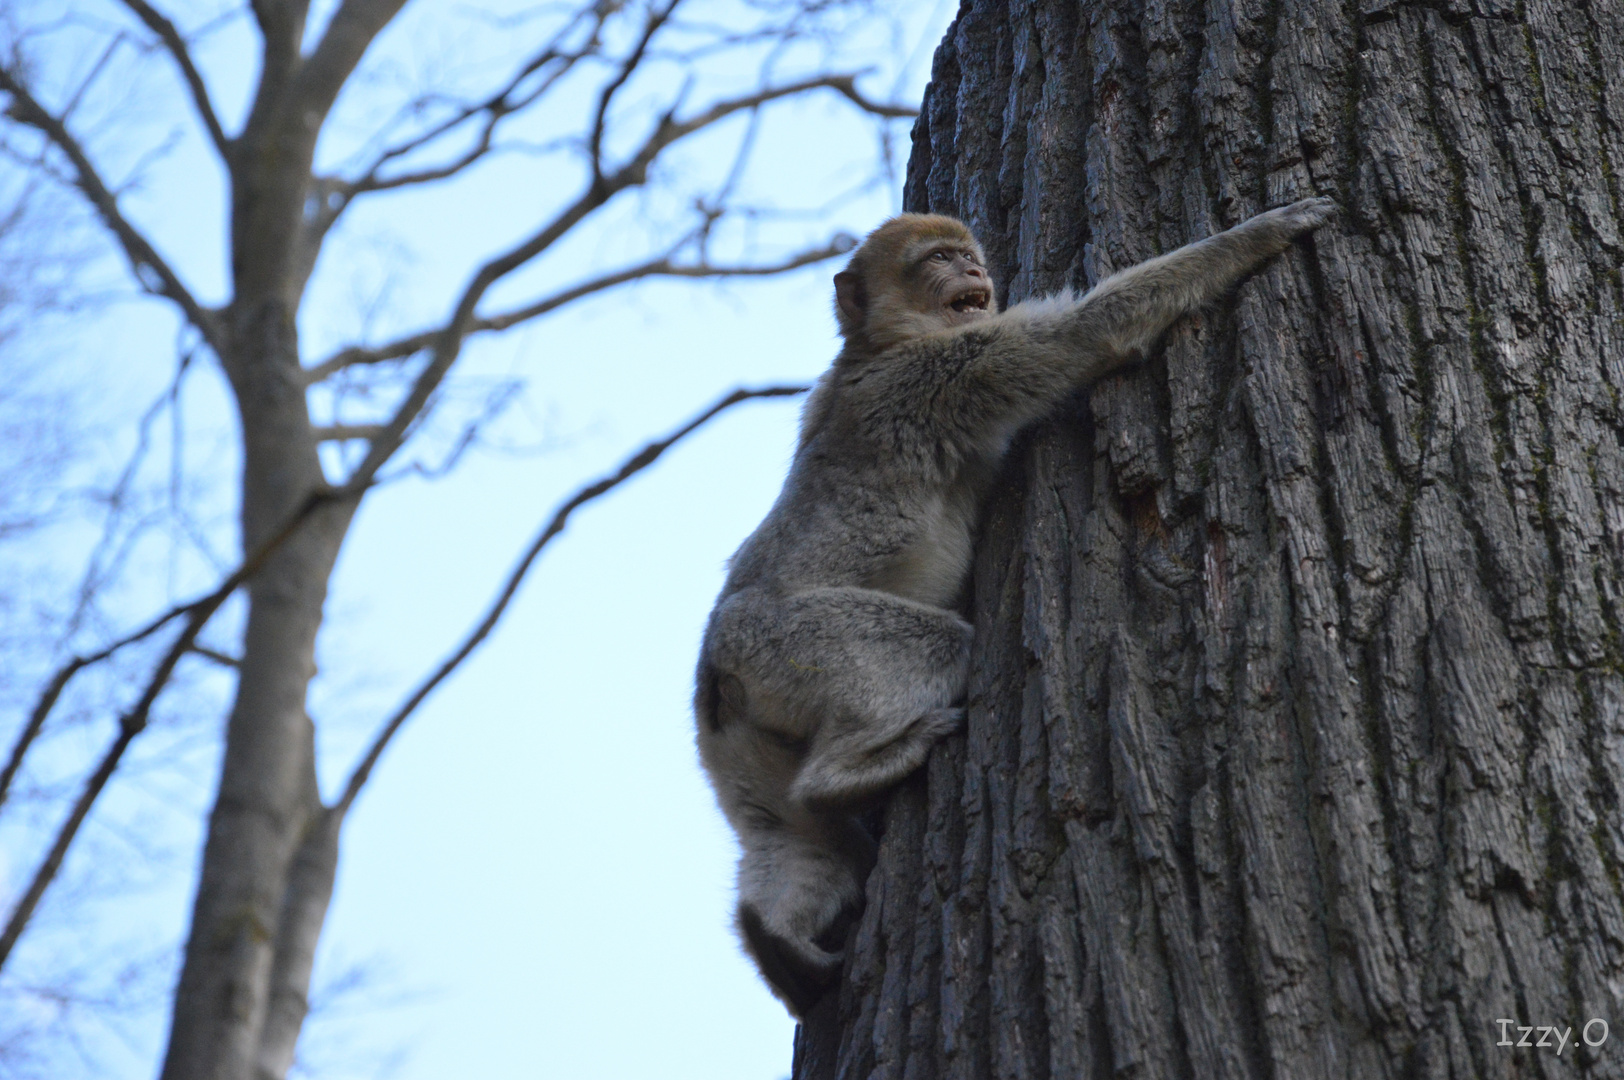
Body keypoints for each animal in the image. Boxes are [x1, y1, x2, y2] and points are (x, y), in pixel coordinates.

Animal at [691, 198, 1338, 1013]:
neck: (880, 345)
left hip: (740, 750)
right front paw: (1259, 236)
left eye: (966, 254)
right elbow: (1089, 332)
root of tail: (714, 680)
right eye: (938, 259)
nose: (974, 269)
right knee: (933, 648)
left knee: (792, 840)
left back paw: (779, 934)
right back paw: (847, 778)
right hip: (783, 644)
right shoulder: (944, 375)